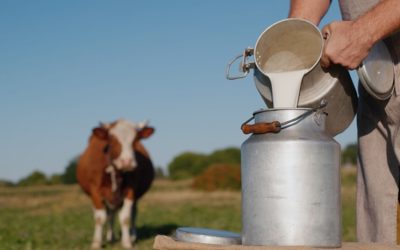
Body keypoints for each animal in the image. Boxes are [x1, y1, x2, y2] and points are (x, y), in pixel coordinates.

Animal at [76, 119, 155, 248]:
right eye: (112, 138)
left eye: (136, 139)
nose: (127, 161)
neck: (115, 171)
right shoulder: (95, 191)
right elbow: (100, 218)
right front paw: (96, 243)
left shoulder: (131, 191)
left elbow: (125, 217)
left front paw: (127, 242)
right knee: (109, 215)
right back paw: (110, 237)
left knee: (132, 214)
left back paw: (132, 237)